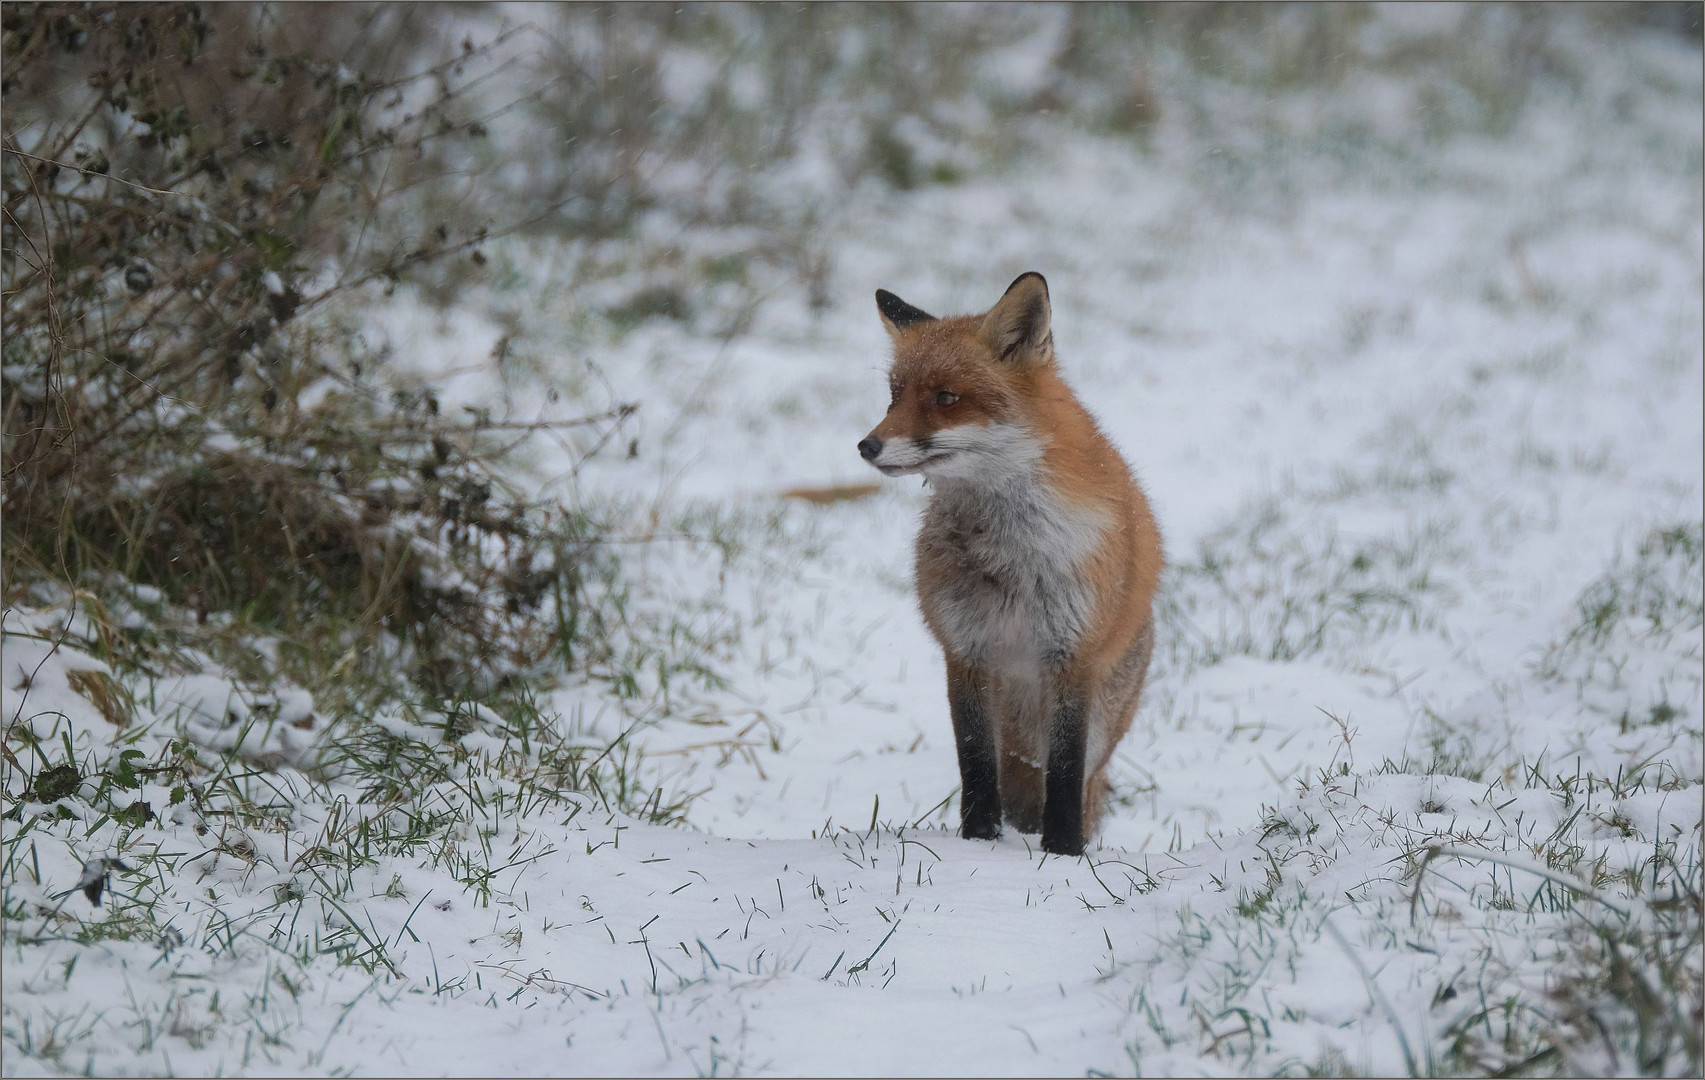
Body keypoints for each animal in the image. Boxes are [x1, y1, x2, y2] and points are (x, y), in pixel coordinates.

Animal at [859, 272, 1166, 856]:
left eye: (946, 398)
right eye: (893, 396)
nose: (867, 446)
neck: (1011, 556)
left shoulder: (1070, 654)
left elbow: (1065, 773)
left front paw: (1063, 852)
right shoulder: (966, 649)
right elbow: (976, 764)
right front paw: (979, 840)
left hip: (1104, 712)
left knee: (1083, 779)